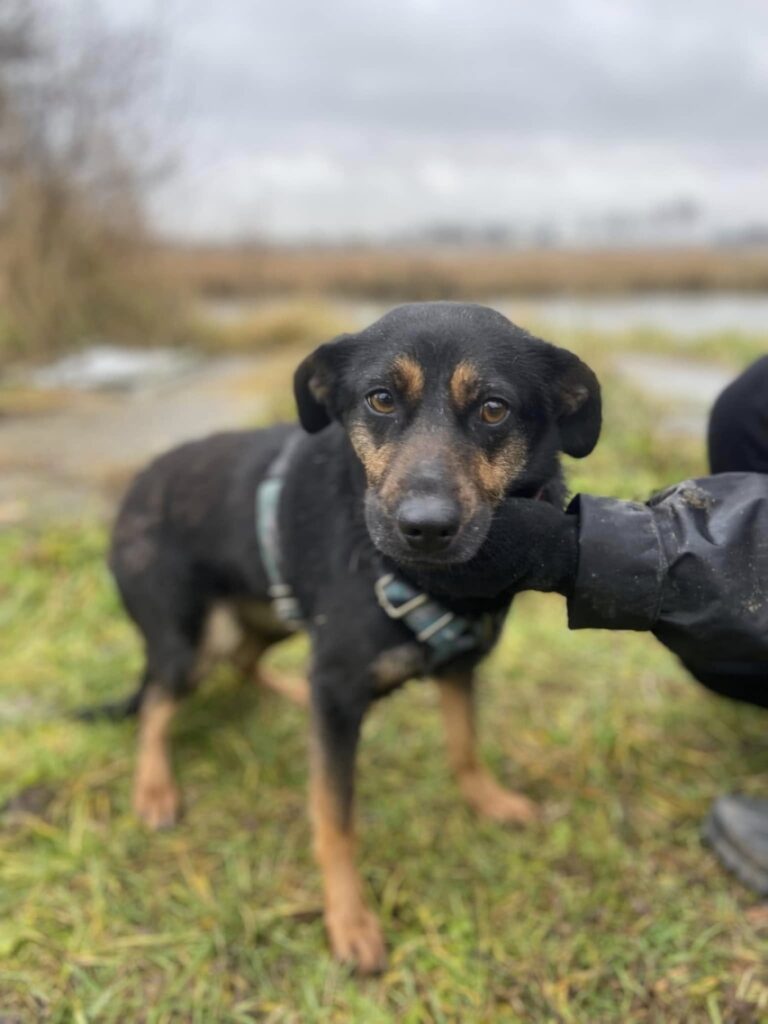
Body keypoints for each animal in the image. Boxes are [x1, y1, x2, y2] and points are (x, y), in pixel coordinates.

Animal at [105, 299, 606, 970]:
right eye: (381, 400)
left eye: (494, 408)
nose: (425, 529)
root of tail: (138, 481)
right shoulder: (340, 691)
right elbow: (335, 819)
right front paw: (348, 919)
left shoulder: (458, 663)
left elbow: (465, 744)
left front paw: (489, 800)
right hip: (191, 639)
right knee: (158, 702)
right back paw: (155, 788)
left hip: (272, 615)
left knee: (244, 661)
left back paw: (289, 694)